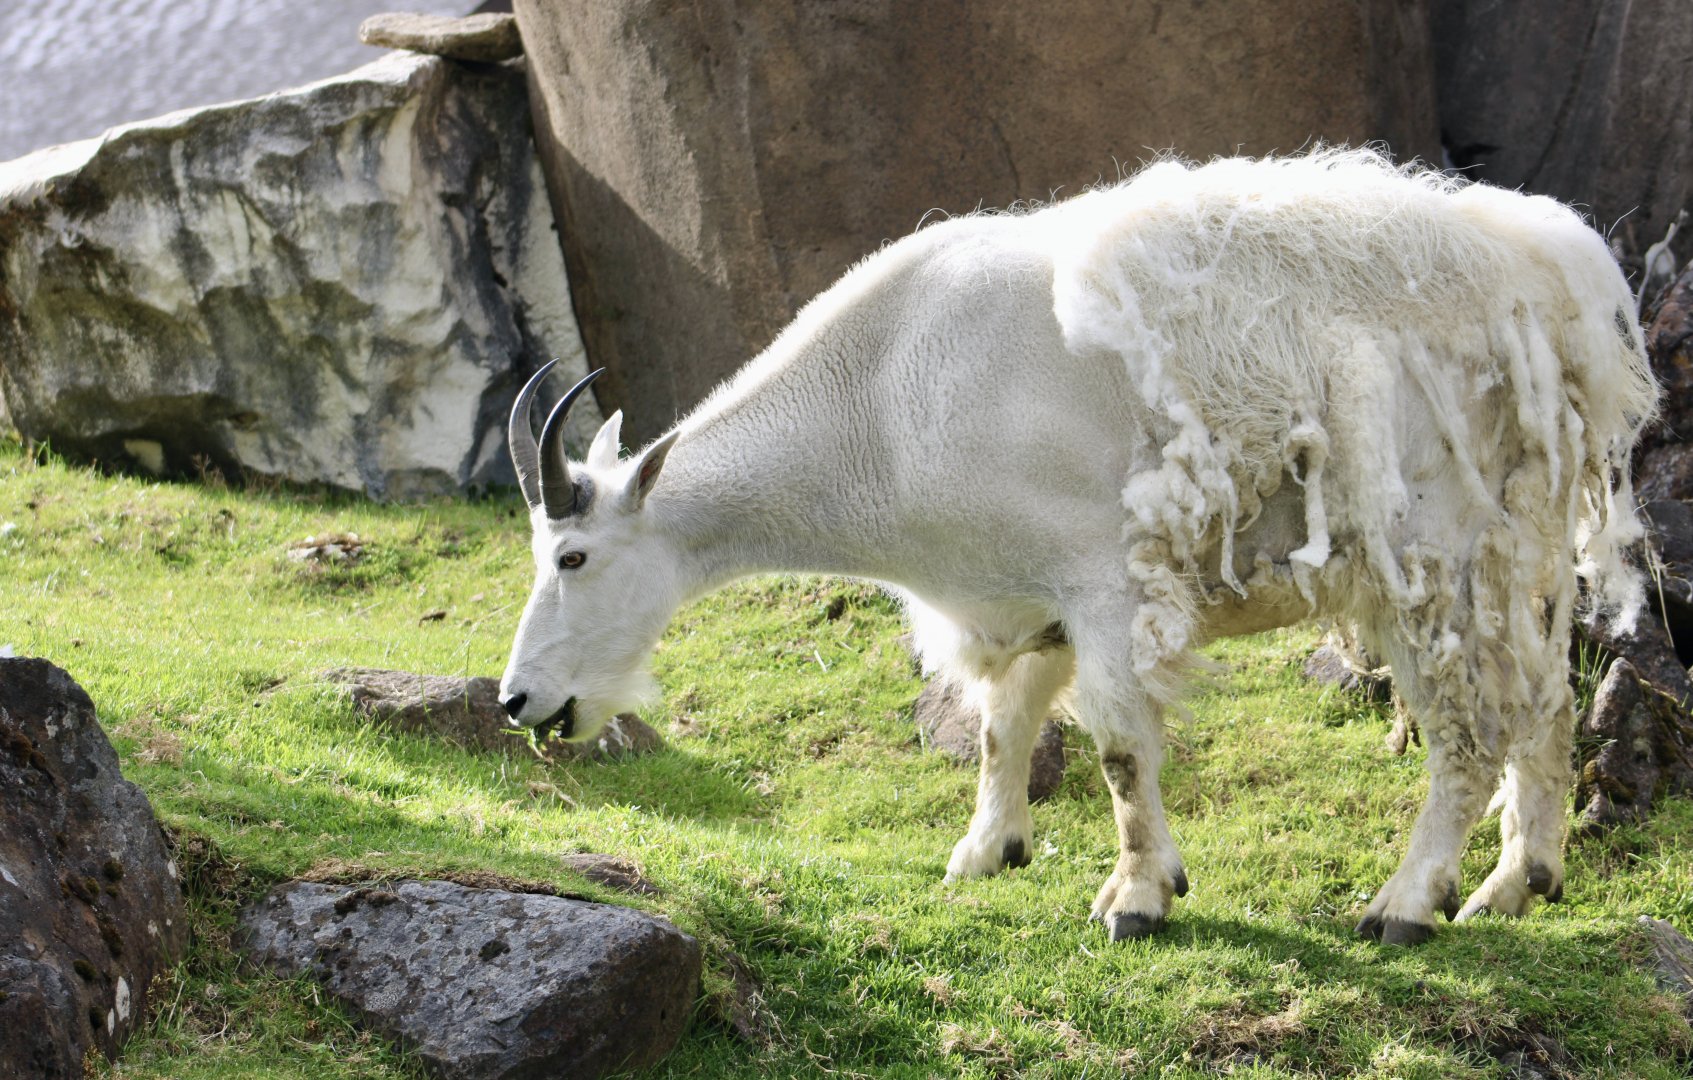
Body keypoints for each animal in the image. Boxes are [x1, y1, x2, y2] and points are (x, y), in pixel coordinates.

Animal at [498, 149, 1656, 945]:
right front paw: (985, 852)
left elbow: (1115, 744)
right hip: (1519, 540)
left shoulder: (1103, 580)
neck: (878, 403)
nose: (519, 702)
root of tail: (1555, 280)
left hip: (1429, 551)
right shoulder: (1029, 594)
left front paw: (1139, 897)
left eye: (572, 558)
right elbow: (1003, 724)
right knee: (1545, 698)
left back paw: (1409, 903)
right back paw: (1518, 881)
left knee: (1465, 725)